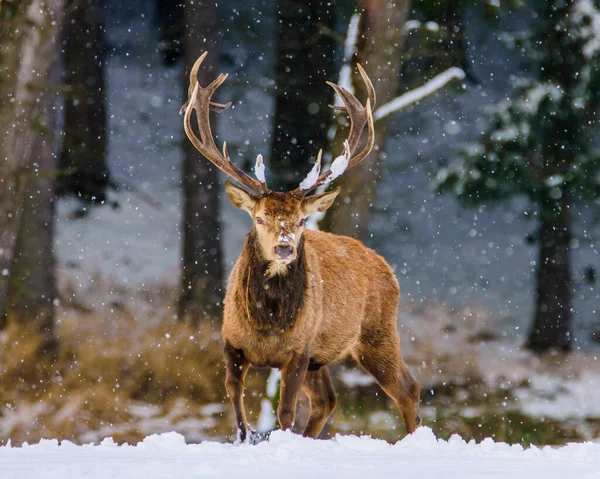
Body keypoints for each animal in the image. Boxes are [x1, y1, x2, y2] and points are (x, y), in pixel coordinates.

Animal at [180, 51, 420, 442]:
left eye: (302, 220)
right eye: (259, 218)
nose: (284, 248)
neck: (267, 327)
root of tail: (388, 268)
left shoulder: (299, 349)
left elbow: (286, 410)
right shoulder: (230, 340)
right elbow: (234, 397)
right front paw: (245, 436)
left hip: (376, 331)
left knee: (406, 388)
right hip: (325, 357)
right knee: (328, 399)